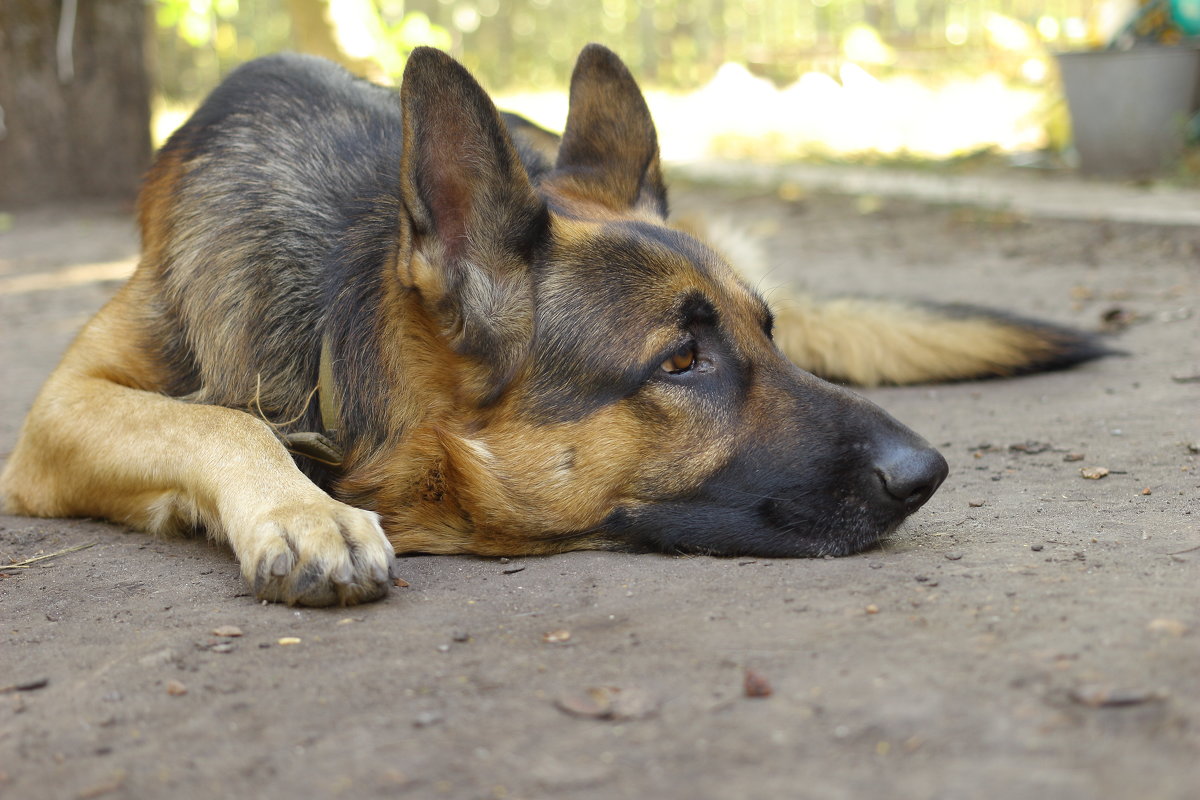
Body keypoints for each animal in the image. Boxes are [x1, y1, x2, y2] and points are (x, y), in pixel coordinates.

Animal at [0, 45, 1104, 606]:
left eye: (767, 333)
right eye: (681, 359)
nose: (929, 474)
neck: (329, 333)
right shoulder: (57, 412)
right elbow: (219, 419)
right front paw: (302, 510)